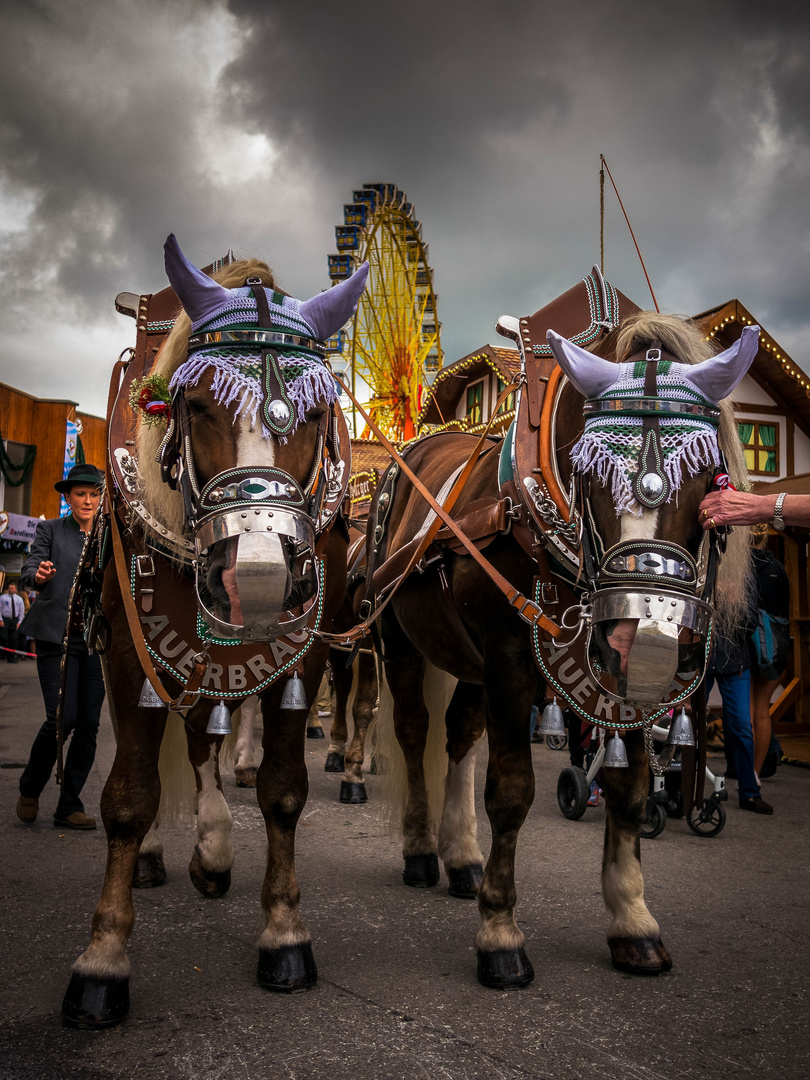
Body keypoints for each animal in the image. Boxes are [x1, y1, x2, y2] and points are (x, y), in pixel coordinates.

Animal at [61, 236, 369, 1028]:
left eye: (318, 412)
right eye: (197, 406)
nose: (255, 574)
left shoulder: (304, 656)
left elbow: (284, 790)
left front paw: (285, 931)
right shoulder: (131, 652)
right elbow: (129, 796)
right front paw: (103, 959)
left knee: (205, 738)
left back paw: (214, 849)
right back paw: (167, 854)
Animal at [369, 270, 760, 989]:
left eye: (710, 473)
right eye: (591, 467)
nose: (648, 640)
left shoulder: (606, 678)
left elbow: (630, 788)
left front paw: (633, 920)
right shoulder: (510, 660)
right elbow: (512, 791)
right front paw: (500, 933)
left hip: (469, 662)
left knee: (458, 737)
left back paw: (460, 857)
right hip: (400, 640)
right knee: (414, 733)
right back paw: (420, 849)